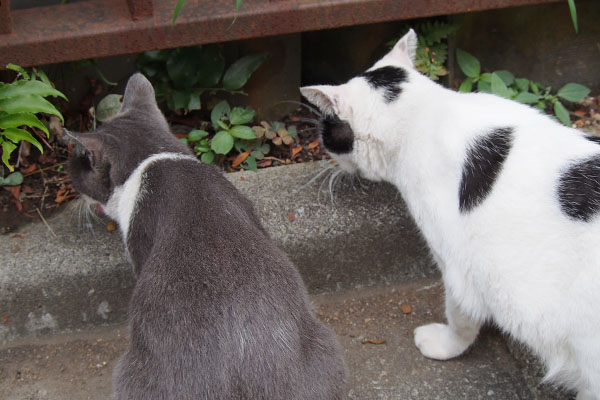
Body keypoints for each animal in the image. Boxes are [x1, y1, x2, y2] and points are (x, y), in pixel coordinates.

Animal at [65, 73, 344, 398]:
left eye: (78, 165)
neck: (153, 159)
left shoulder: (139, 239)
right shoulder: (246, 207)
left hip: (131, 375)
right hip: (325, 345)